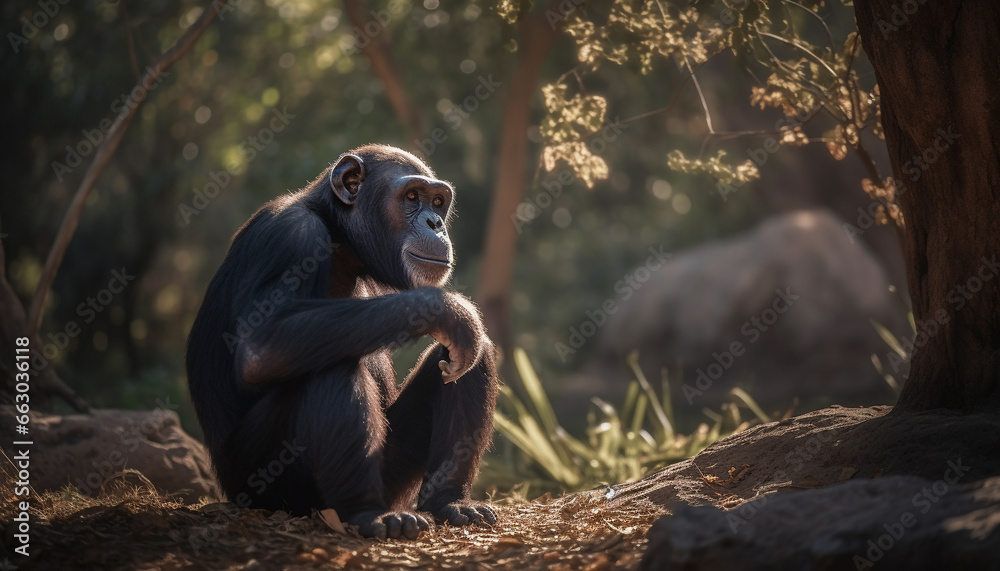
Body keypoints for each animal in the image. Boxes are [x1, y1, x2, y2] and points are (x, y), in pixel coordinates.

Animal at [186, 143, 500, 540]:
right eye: (412, 197)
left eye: (438, 201)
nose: (435, 223)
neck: (339, 240)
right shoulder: (291, 237)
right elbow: (261, 343)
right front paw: (451, 311)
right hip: (267, 487)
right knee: (330, 365)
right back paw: (369, 514)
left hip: (392, 478)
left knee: (467, 358)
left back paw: (450, 502)